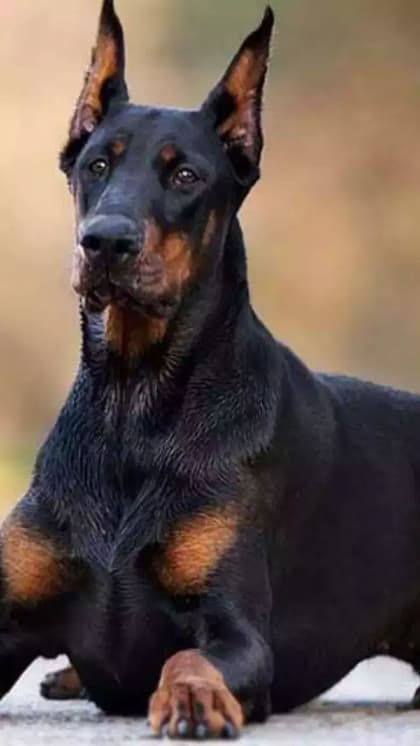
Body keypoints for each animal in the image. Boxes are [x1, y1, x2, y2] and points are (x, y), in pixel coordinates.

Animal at [3, 0, 420, 739]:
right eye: (96, 164)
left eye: (185, 176)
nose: (104, 242)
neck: (132, 401)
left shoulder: (236, 628)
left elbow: (189, 656)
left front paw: (193, 699)